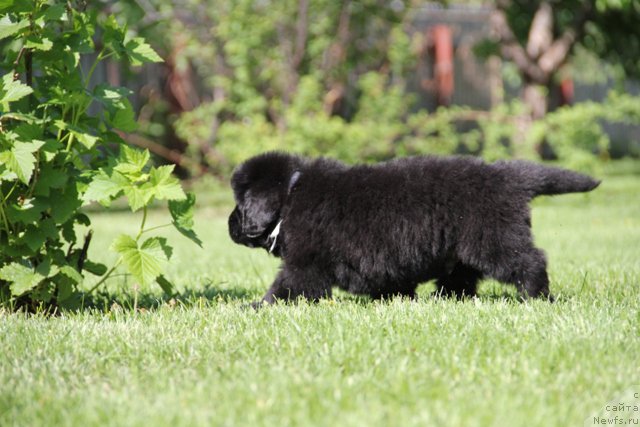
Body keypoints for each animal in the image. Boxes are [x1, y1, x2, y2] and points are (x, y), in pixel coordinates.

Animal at [228, 153, 596, 304]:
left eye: (240, 203)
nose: (230, 224)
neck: (291, 194)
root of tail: (507, 175)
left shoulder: (306, 261)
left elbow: (287, 286)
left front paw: (257, 307)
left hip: (493, 239)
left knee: (530, 261)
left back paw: (537, 297)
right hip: (464, 246)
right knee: (462, 277)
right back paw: (445, 299)